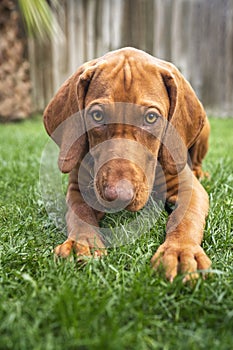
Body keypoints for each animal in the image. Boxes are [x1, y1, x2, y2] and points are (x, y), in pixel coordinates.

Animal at [43, 47, 211, 282]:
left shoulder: (190, 187)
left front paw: (181, 251)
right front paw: (82, 242)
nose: (119, 196)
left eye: (151, 118)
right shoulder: (77, 188)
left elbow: (186, 217)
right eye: (97, 115)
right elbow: (79, 212)